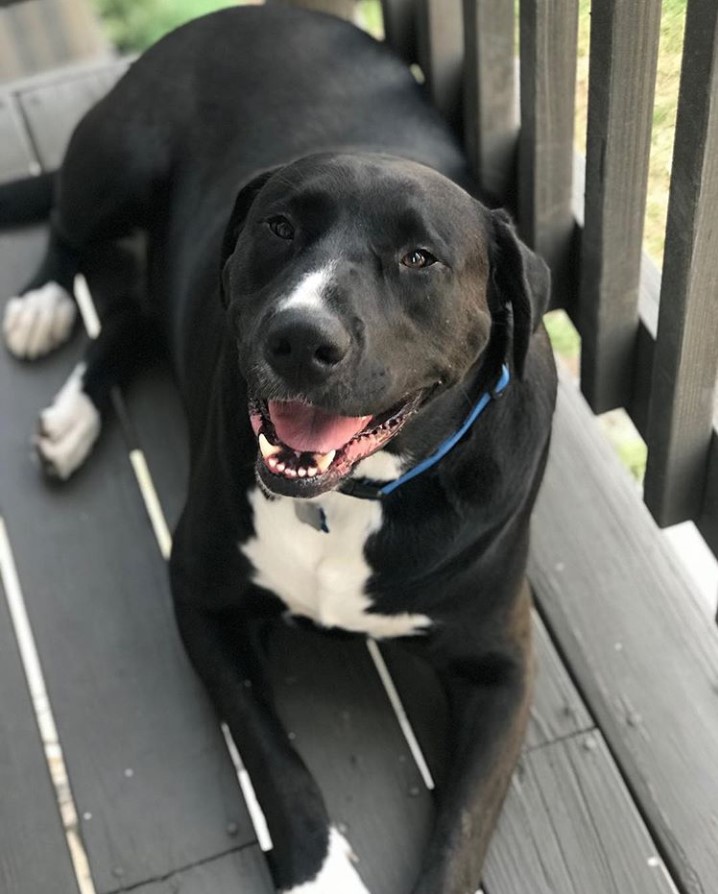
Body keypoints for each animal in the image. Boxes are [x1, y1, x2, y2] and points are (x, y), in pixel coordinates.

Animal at [1, 7, 556, 894]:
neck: (350, 500)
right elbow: (272, 756)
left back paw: (71, 414)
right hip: (117, 159)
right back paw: (44, 305)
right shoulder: (203, 599)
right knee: (67, 227)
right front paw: (320, 872)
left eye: (420, 258)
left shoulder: (503, 668)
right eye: (281, 226)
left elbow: (460, 832)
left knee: (130, 315)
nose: (299, 337)